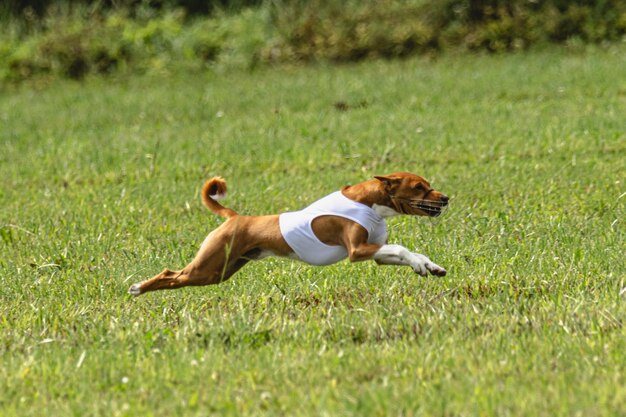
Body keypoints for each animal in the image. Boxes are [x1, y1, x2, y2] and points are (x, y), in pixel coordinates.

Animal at [128, 172, 448, 296]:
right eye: (419, 187)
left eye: (428, 184)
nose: (445, 198)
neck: (368, 202)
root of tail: (235, 217)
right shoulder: (357, 251)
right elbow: (402, 248)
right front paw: (423, 265)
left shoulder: (377, 253)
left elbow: (408, 252)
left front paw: (429, 266)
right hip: (208, 266)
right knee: (170, 274)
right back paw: (138, 287)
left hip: (220, 270)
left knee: (176, 278)